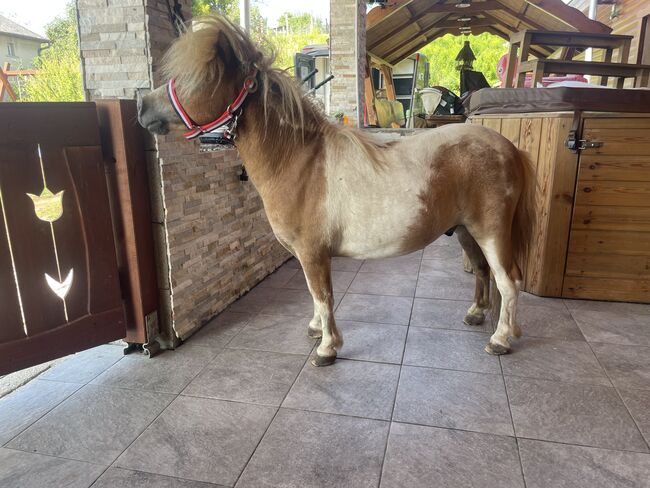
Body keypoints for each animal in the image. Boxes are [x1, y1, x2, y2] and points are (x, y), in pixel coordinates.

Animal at [137, 16, 532, 366]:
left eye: (200, 77)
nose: (142, 107)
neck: (298, 160)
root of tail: (510, 149)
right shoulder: (307, 255)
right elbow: (315, 298)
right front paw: (315, 330)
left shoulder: (314, 254)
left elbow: (323, 296)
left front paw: (327, 348)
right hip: (465, 231)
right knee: (482, 272)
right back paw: (476, 314)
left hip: (490, 232)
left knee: (508, 281)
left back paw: (500, 340)